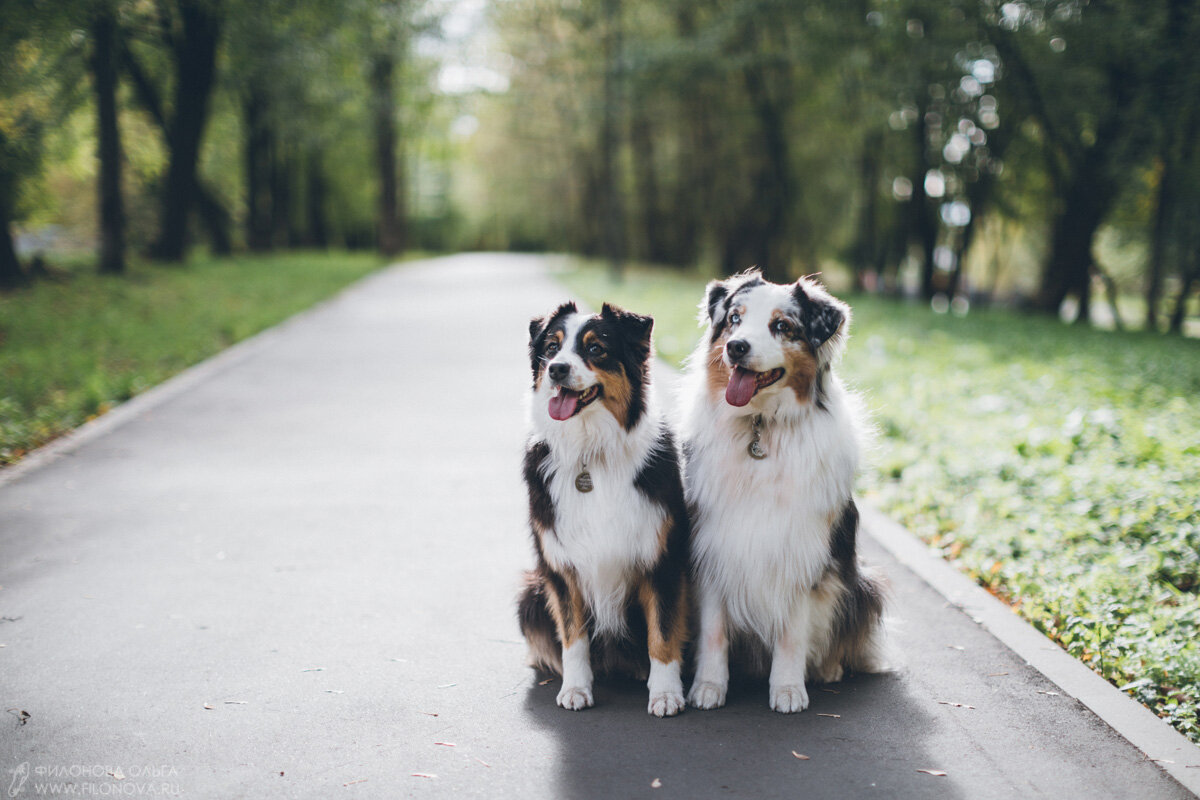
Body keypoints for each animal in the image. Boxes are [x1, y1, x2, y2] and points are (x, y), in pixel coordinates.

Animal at [518, 302, 696, 719]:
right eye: (551, 347)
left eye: (596, 349)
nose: (556, 369)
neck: (591, 453)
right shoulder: (560, 568)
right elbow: (573, 636)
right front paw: (575, 688)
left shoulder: (663, 560)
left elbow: (663, 632)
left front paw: (665, 693)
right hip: (530, 593)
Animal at [681, 271, 888, 714]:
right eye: (735, 319)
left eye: (782, 326)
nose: (736, 347)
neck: (761, 427)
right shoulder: (712, 545)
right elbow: (713, 630)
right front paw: (708, 686)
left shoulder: (799, 549)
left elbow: (792, 632)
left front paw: (789, 689)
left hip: (860, 582)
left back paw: (827, 668)